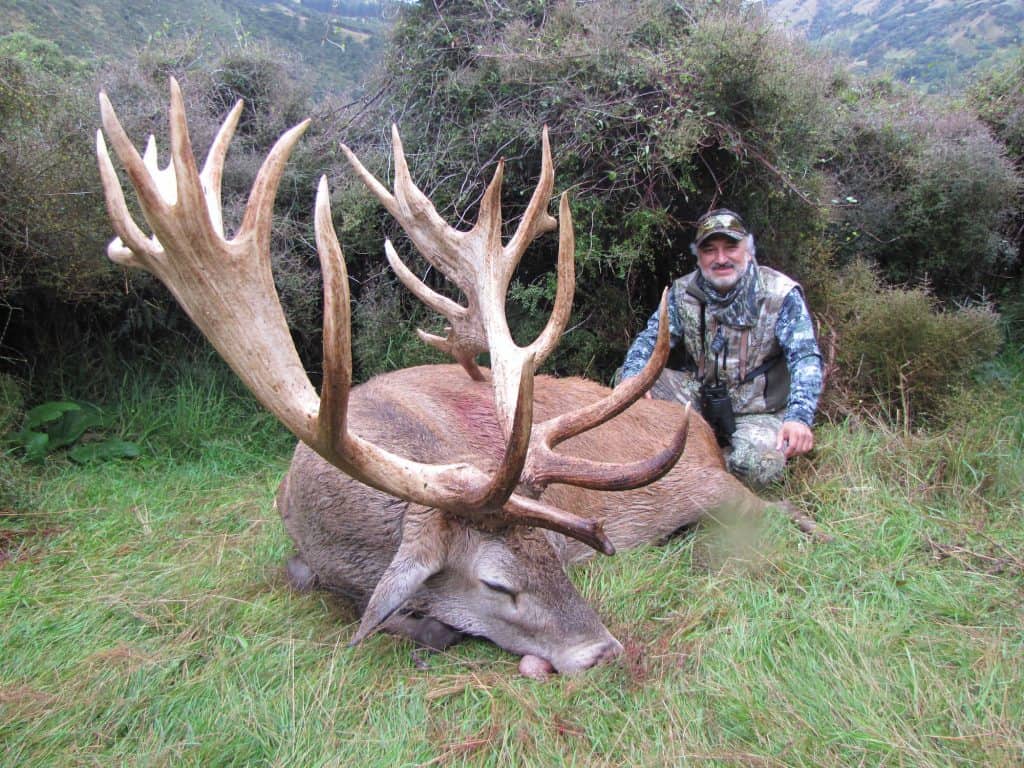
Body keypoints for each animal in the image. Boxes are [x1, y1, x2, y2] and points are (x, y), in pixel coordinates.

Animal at [96, 80, 806, 678]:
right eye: (496, 582)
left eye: (554, 547)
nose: (602, 650)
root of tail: (702, 434)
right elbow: (320, 587)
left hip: (710, 486)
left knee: (783, 513)